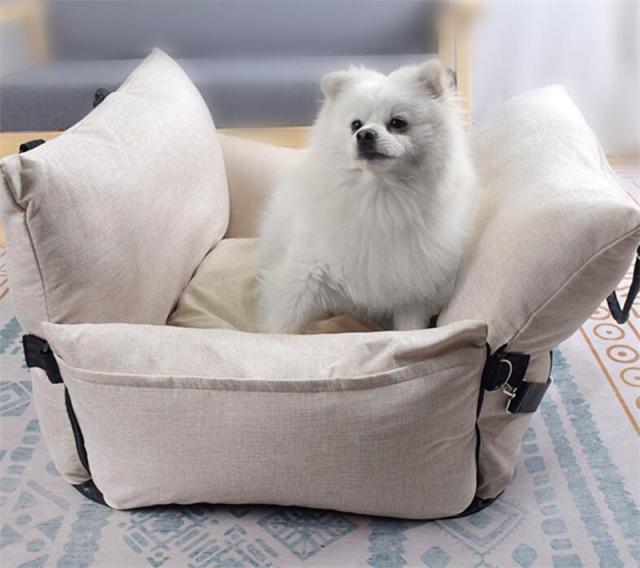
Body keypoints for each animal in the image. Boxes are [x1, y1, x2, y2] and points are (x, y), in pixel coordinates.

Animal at [256, 59, 476, 333]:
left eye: (398, 123)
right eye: (355, 125)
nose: (364, 135)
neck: (379, 199)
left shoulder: (412, 287)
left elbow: (410, 329)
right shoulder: (304, 273)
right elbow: (284, 322)